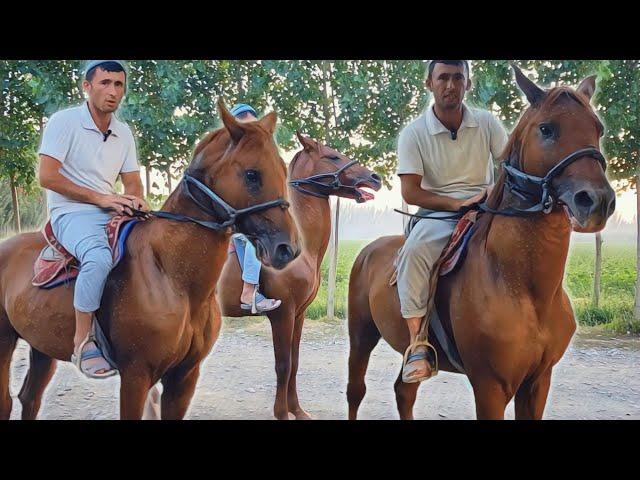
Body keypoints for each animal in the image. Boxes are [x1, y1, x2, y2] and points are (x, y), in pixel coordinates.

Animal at [0, 102, 300, 420]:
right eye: (252, 174)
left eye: (283, 169)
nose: (287, 248)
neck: (173, 276)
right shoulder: (136, 375)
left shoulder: (184, 376)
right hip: (5, 341)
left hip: (41, 347)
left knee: (30, 397)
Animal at [218, 132, 382, 420]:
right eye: (332, 156)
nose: (374, 177)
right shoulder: (282, 314)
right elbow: (283, 365)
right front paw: (282, 413)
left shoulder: (298, 314)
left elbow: (294, 363)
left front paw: (297, 410)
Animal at [348, 65, 616, 418]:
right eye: (547, 129)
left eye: (598, 129)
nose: (597, 201)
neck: (524, 288)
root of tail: (367, 250)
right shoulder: (490, 386)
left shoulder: (538, 382)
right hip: (360, 335)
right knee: (356, 391)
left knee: (404, 392)